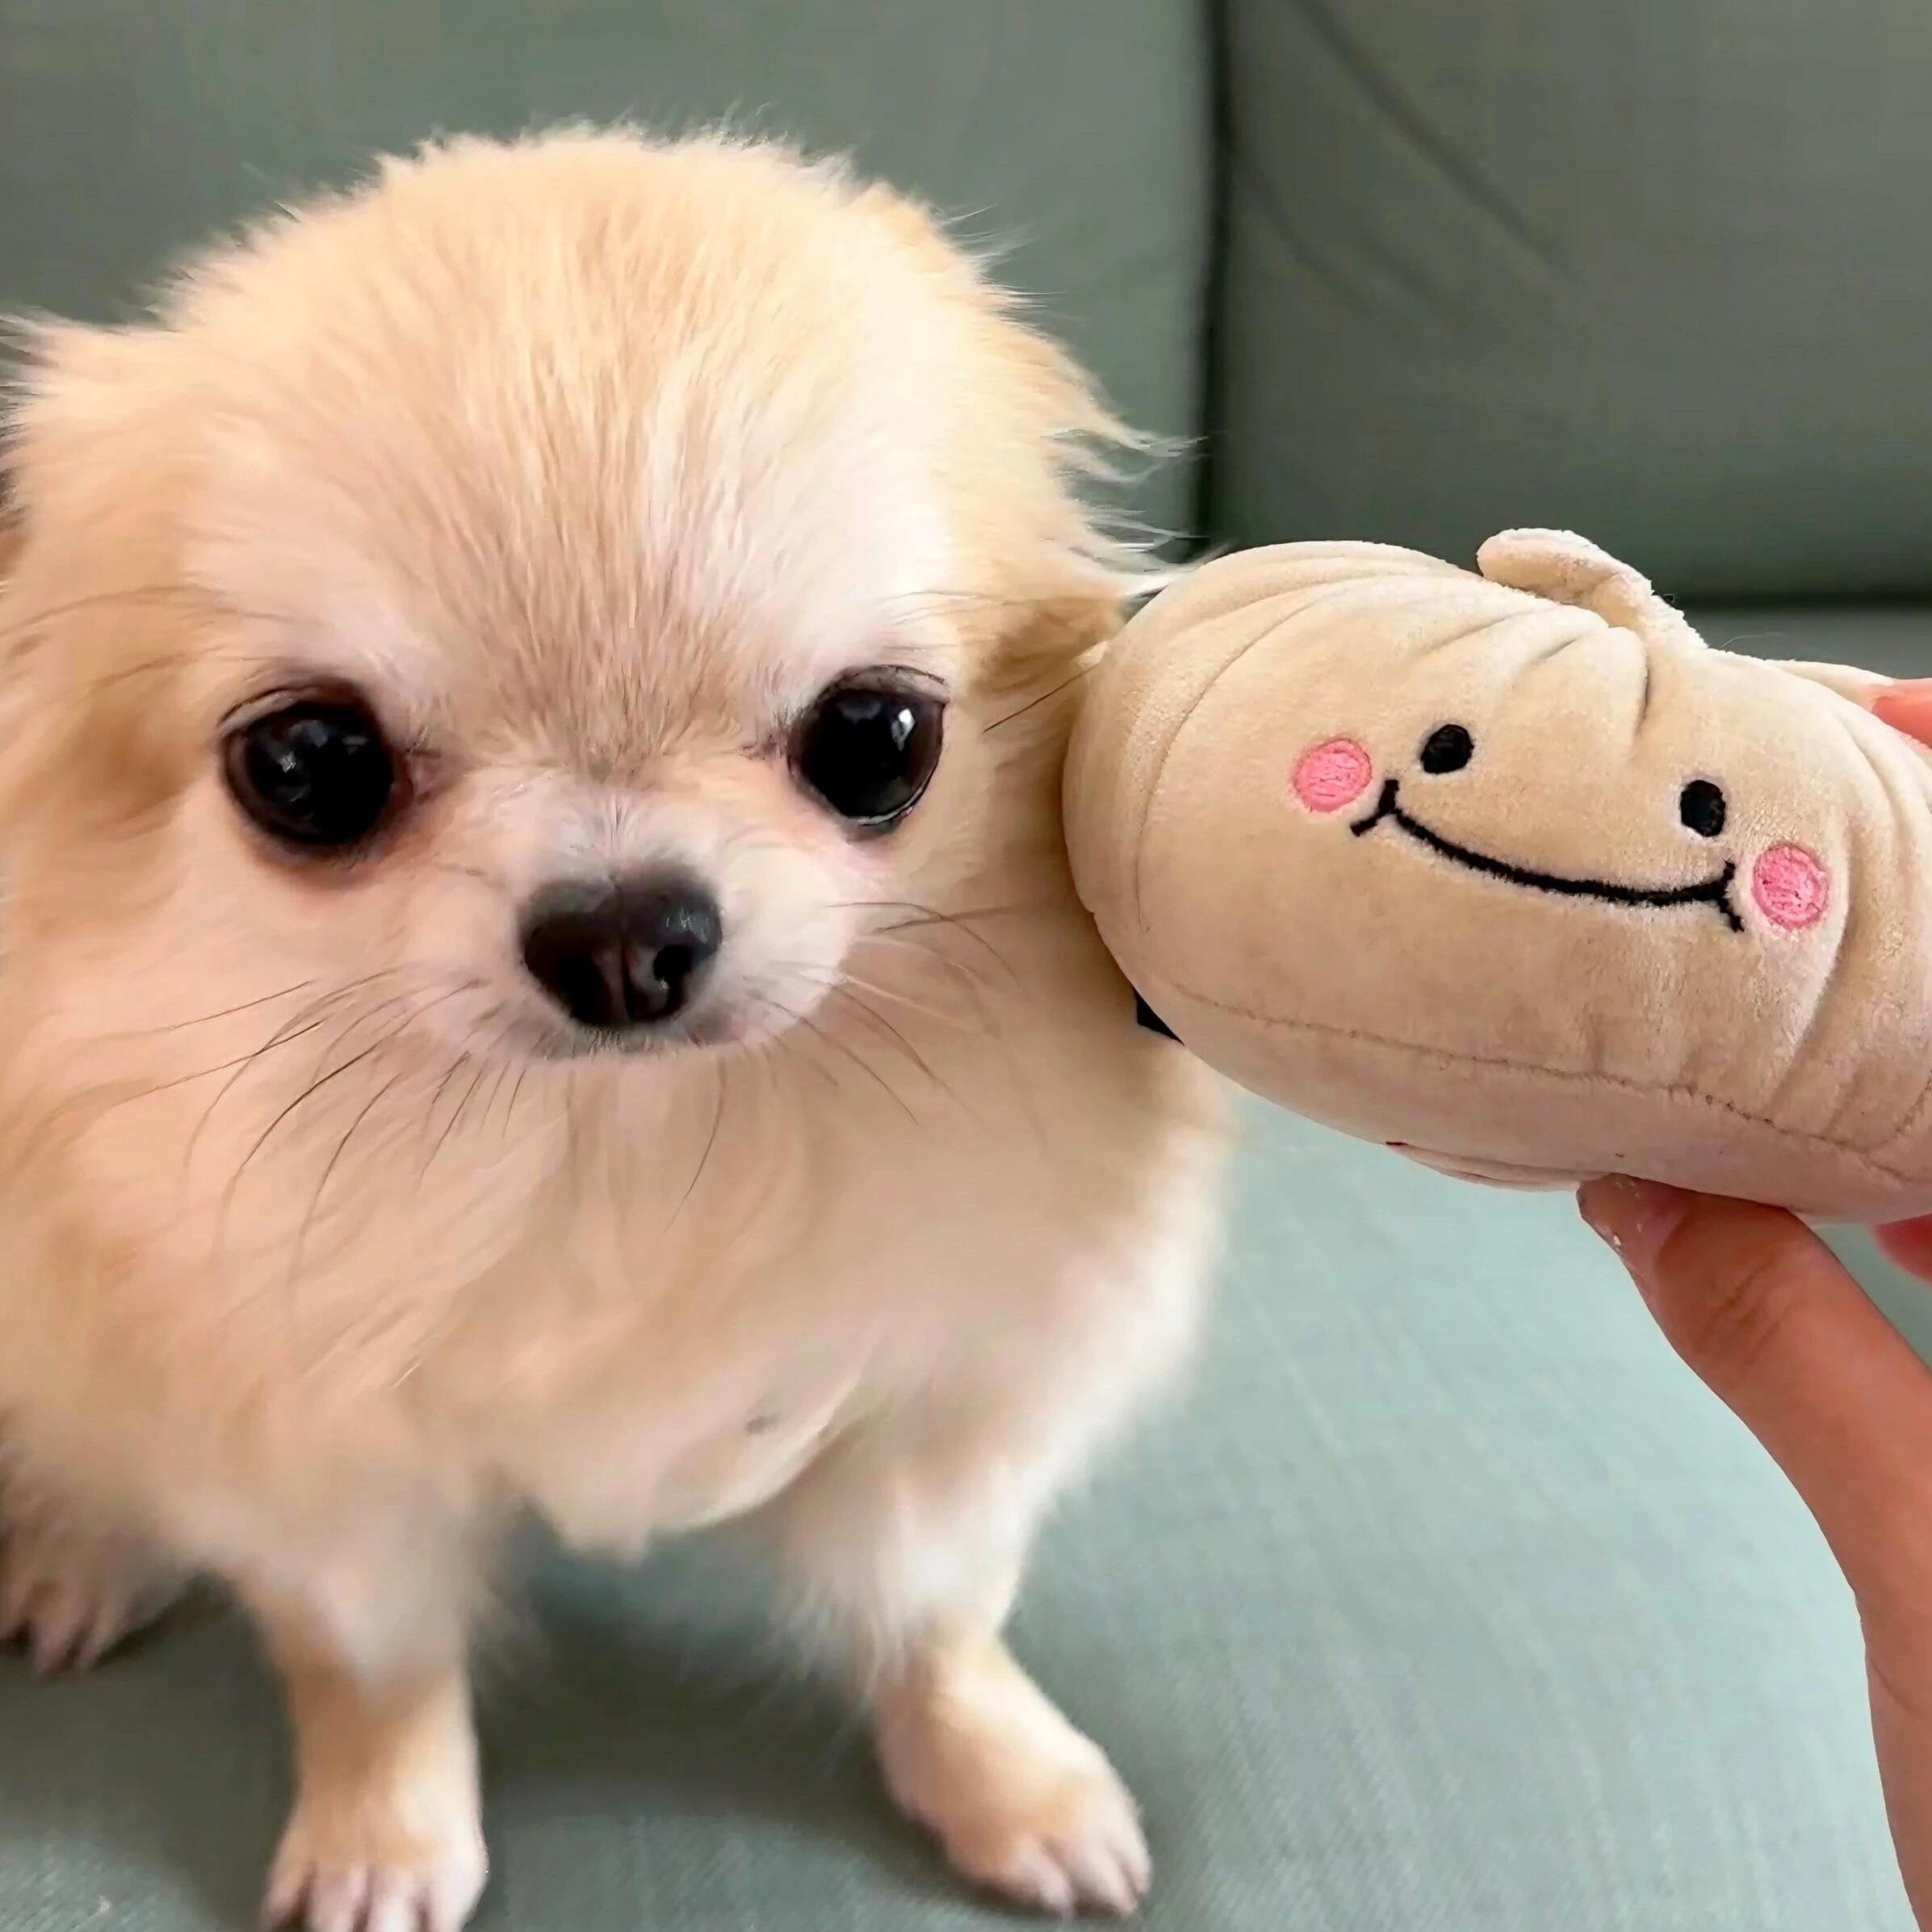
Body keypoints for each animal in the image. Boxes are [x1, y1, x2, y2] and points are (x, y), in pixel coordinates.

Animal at [0, 128, 1227, 1931]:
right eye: (308, 766)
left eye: (878, 737)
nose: (626, 930)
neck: (611, 1158)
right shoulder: (315, 1467)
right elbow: (372, 1666)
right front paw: (384, 1830)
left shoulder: (944, 1410)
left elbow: (935, 1616)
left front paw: (1005, 1773)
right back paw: (83, 1548)